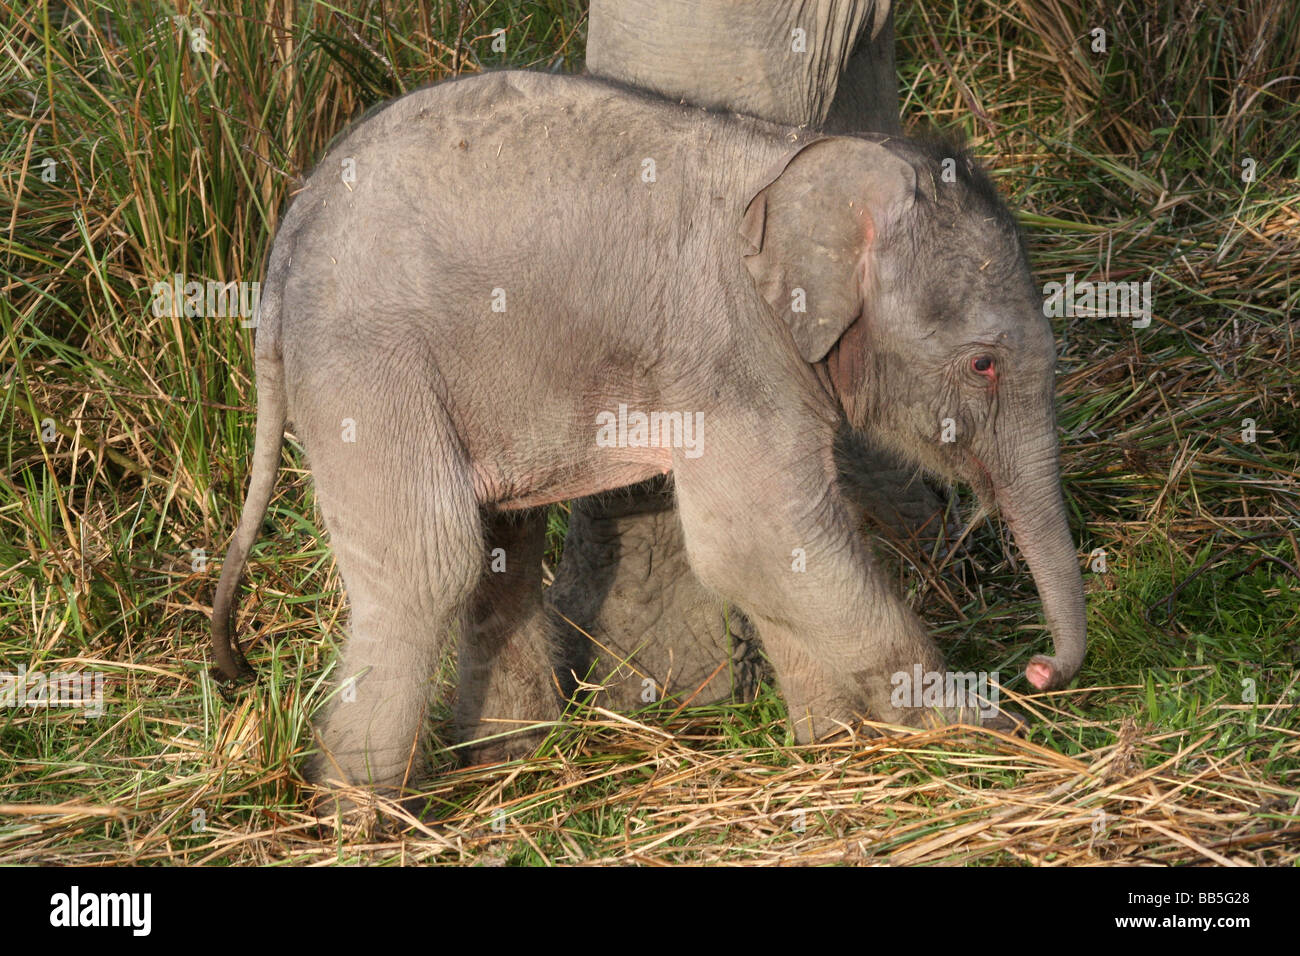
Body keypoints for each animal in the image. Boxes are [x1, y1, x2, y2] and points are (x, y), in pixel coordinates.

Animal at [213, 70, 1086, 796]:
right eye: (983, 365)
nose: (1039, 670)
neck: (802, 159)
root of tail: (284, 248)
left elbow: (779, 554)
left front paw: (832, 747)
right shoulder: (733, 353)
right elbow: (754, 542)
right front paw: (990, 733)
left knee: (501, 549)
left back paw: (510, 766)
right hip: (369, 364)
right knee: (432, 562)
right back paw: (362, 817)